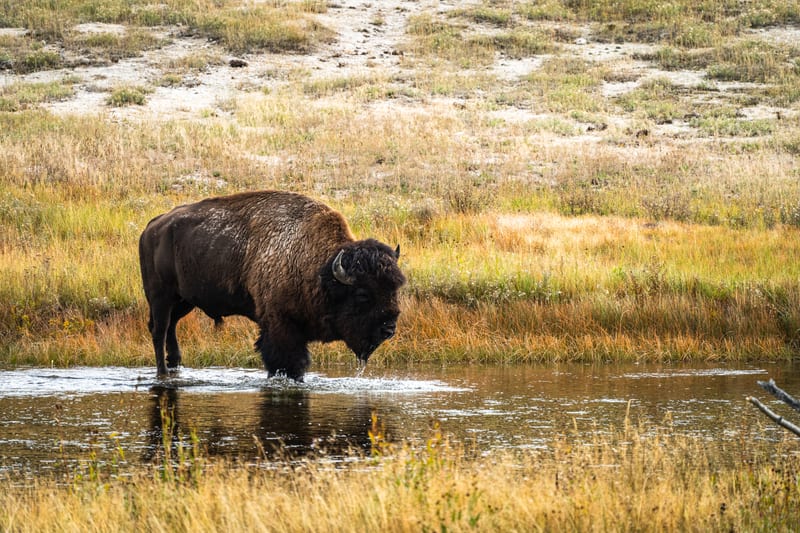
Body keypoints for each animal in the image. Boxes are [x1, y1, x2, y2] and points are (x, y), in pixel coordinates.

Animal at [139, 190, 406, 380]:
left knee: (171, 328)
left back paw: (175, 365)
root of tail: (152, 226)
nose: (389, 328)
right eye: (362, 294)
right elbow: (288, 361)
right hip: (160, 297)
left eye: (394, 289)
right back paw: (163, 373)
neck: (318, 266)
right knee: (159, 330)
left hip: (183, 301)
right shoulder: (280, 324)